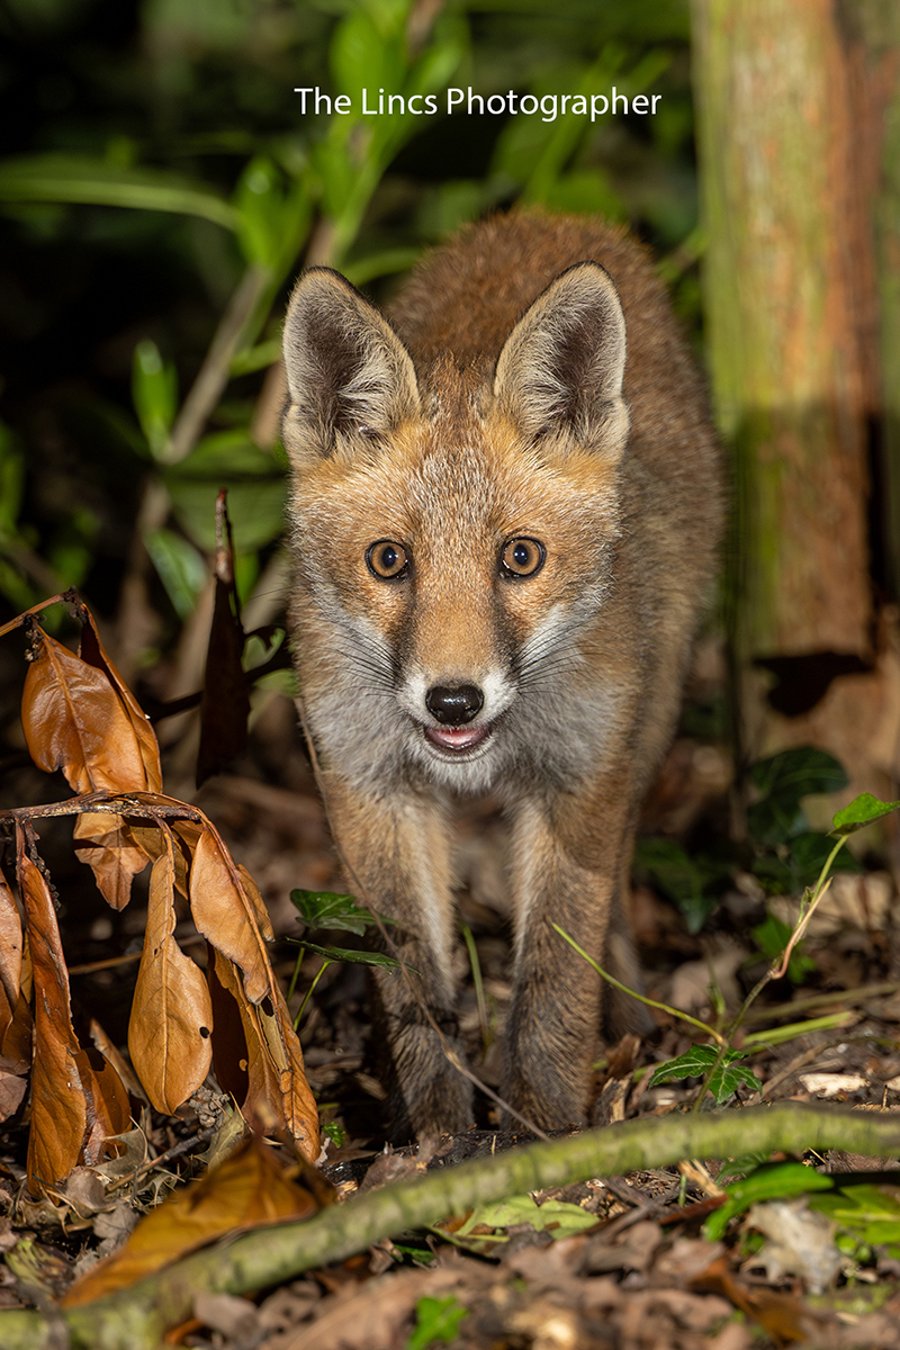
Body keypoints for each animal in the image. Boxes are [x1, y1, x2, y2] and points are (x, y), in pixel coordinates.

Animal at [280, 212, 723, 1139]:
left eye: (521, 558)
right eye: (388, 561)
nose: (455, 699)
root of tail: (550, 218)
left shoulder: (580, 776)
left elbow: (555, 974)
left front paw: (543, 1129)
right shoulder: (368, 783)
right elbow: (413, 981)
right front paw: (436, 1132)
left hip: (647, 725)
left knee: (615, 897)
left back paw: (629, 1017)